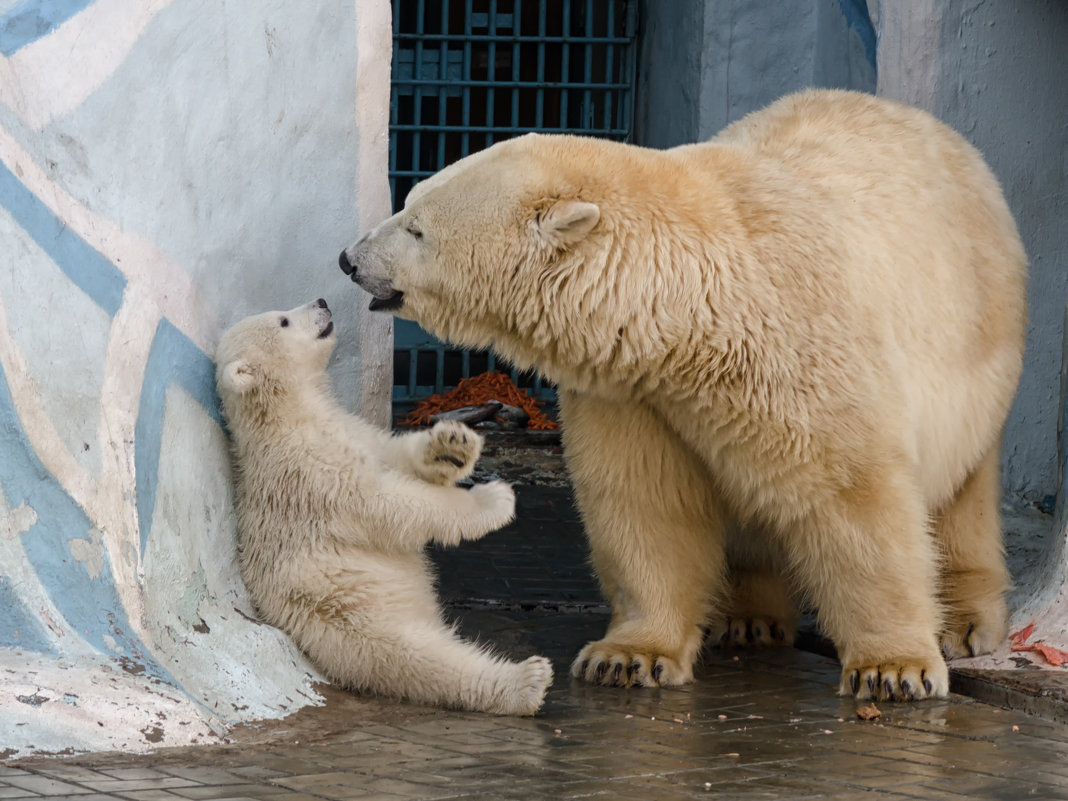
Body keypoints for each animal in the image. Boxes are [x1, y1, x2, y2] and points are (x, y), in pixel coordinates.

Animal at [339, 89, 1025, 700]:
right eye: (407, 202)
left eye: (417, 227)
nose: (349, 257)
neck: (696, 310)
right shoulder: (634, 386)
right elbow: (645, 501)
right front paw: (628, 656)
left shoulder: (802, 348)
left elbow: (853, 493)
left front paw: (894, 669)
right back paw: (748, 617)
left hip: (977, 343)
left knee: (961, 493)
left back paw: (963, 620)